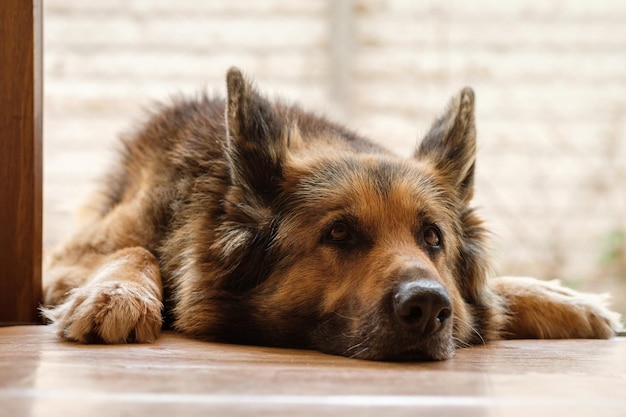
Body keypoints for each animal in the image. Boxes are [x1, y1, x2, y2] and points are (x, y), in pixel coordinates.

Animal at [42, 66, 620, 360]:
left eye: (433, 238)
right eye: (339, 233)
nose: (429, 307)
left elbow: (495, 294)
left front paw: (561, 298)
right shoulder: (63, 263)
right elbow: (134, 248)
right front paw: (118, 293)